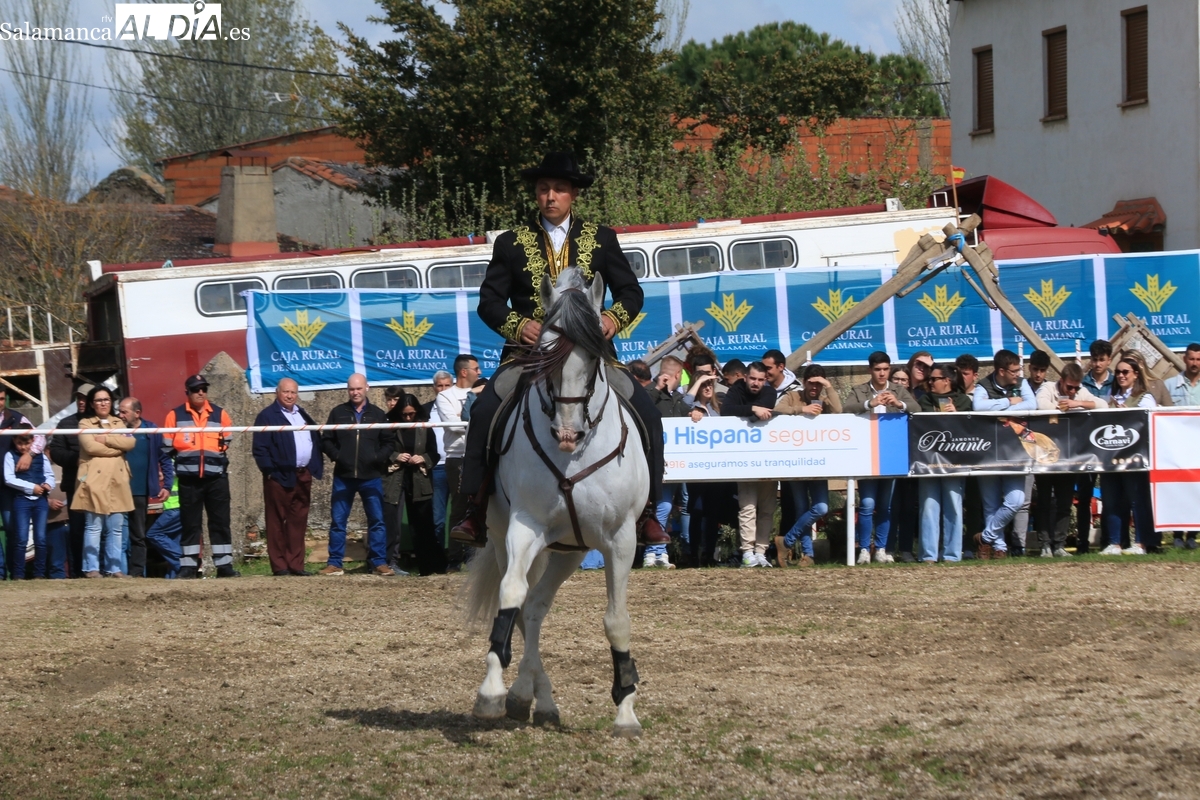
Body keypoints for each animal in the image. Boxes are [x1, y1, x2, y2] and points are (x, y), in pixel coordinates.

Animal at [464, 267, 651, 738]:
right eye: (544, 354)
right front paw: (491, 691)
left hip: (571, 551)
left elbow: (616, 619)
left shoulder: (620, 539)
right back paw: (525, 696)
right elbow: (510, 593)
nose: (568, 433)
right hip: (506, 536)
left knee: (536, 607)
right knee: (525, 604)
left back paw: (537, 700)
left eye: (594, 356)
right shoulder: (524, 525)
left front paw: (626, 709)